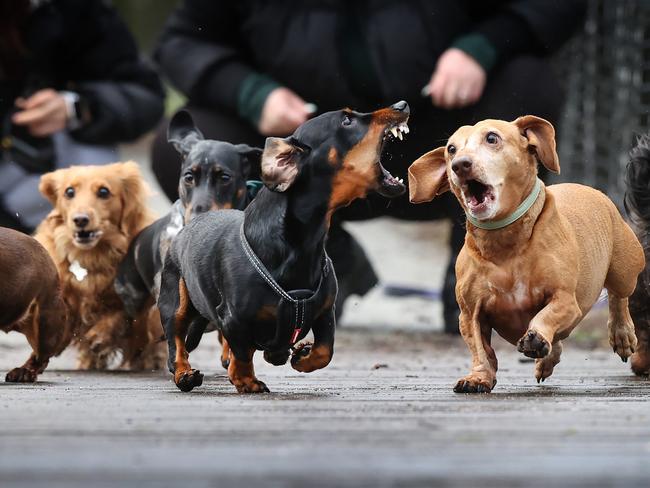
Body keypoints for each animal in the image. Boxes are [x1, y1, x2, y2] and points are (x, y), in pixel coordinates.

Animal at [33, 161, 166, 370]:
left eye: (104, 191)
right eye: (69, 191)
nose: (80, 220)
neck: (91, 257)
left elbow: (118, 314)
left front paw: (99, 336)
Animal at [158, 100, 408, 392]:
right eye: (346, 121)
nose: (402, 105)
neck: (300, 245)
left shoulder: (326, 312)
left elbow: (325, 350)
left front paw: (302, 356)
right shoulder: (233, 318)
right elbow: (241, 352)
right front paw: (246, 380)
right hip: (176, 302)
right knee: (176, 344)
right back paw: (185, 374)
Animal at [408, 116, 640, 394]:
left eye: (492, 138)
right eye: (451, 149)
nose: (459, 165)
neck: (505, 245)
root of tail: (596, 192)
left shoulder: (565, 300)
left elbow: (546, 315)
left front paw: (536, 337)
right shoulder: (470, 312)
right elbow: (479, 347)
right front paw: (478, 377)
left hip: (625, 269)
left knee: (619, 297)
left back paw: (621, 334)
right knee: (559, 341)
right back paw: (545, 360)